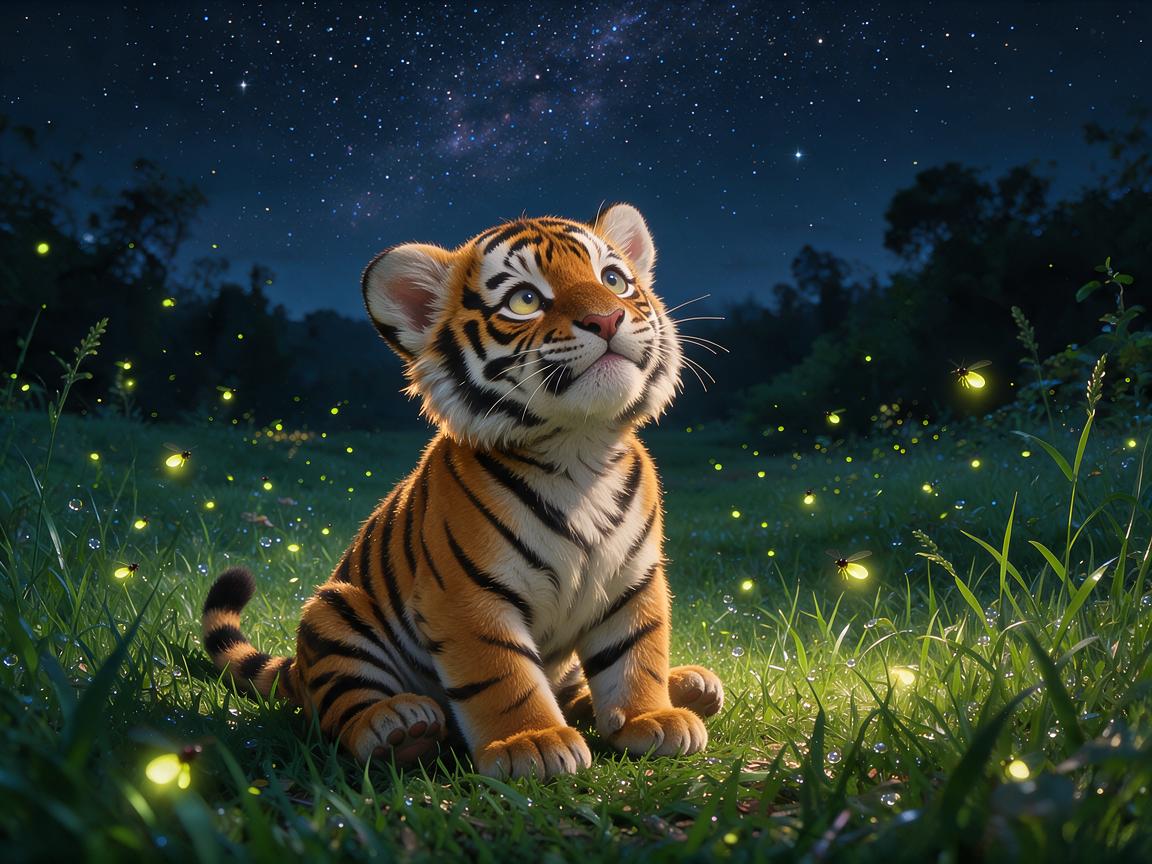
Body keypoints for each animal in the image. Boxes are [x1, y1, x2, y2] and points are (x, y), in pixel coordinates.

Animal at [202, 203, 724, 779]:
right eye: (525, 300)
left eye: (613, 280)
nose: (607, 319)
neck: (579, 452)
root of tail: (298, 666)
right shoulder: (467, 595)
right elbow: (504, 673)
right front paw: (532, 743)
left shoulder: (633, 579)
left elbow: (637, 654)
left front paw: (650, 718)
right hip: (336, 611)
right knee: (340, 709)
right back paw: (398, 726)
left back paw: (691, 685)